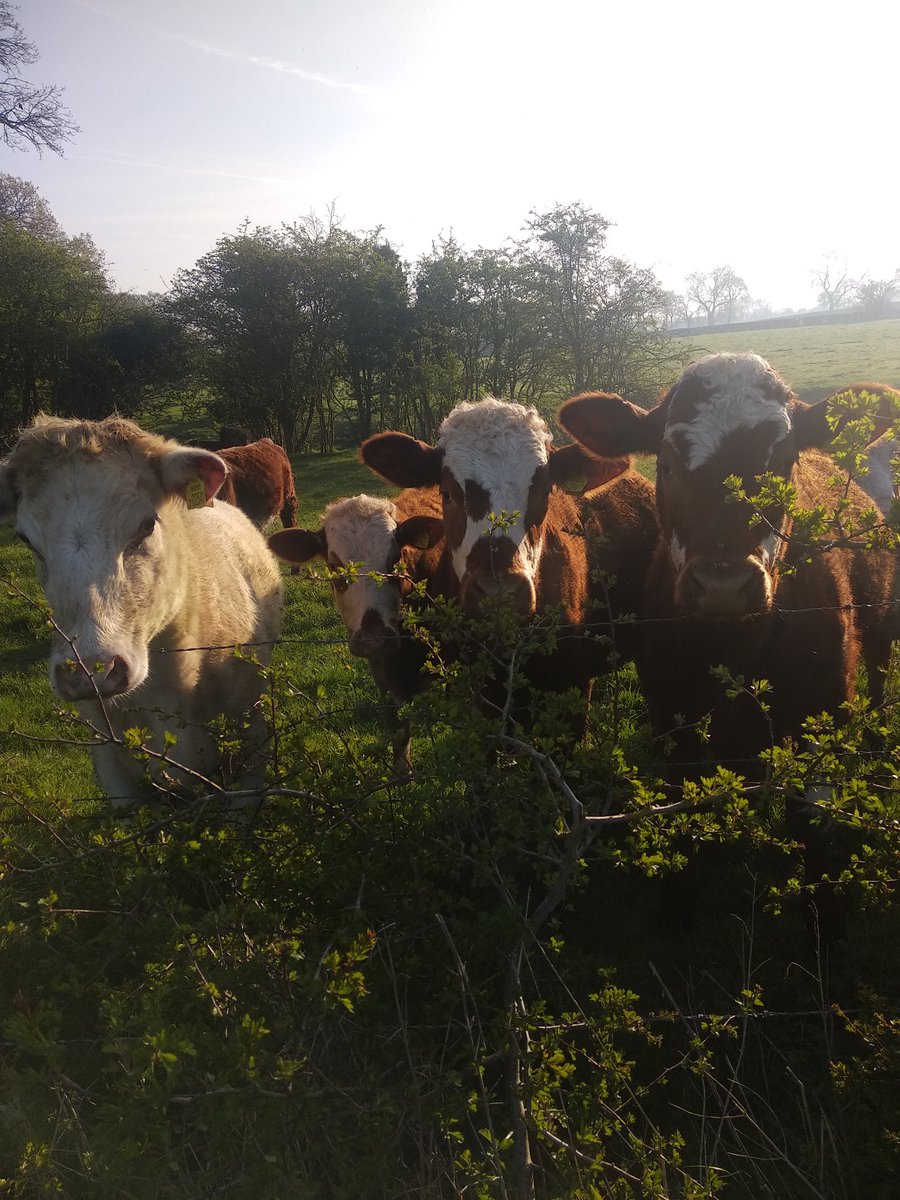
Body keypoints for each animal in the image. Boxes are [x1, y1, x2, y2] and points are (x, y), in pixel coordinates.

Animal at [558, 352, 900, 938]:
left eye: (784, 461)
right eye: (668, 464)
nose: (722, 583)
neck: (733, 651)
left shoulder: (823, 712)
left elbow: (813, 824)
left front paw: (826, 924)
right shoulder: (670, 713)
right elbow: (682, 809)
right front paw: (677, 908)